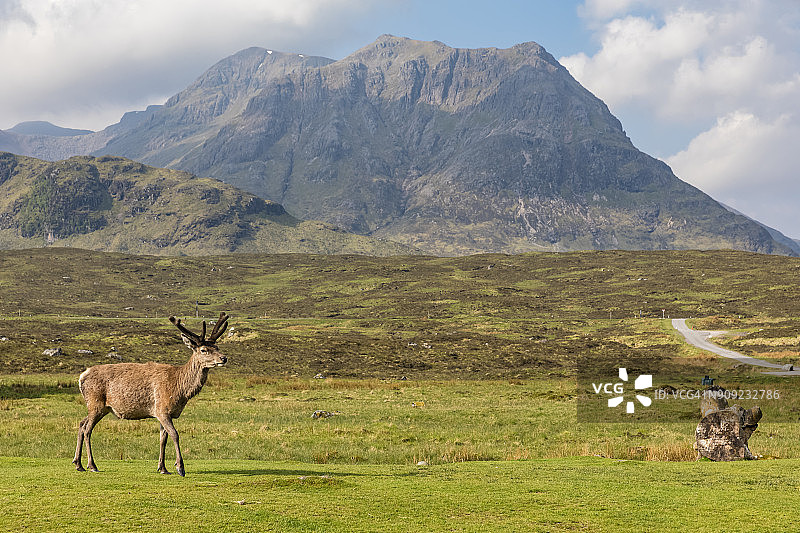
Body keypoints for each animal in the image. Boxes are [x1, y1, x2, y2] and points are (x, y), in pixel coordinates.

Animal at [72, 312, 229, 477]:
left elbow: (163, 438)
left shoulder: (165, 413)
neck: (180, 390)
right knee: (87, 430)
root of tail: (81, 376)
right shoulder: (161, 409)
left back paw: (78, 463)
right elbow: (175, 434)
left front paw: (163, 468)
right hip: (95, 402)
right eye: (203, 350)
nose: (224, 358)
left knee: (81, 424)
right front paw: (180, 467)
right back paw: (92, 465)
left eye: (217, 346)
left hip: (101, 408)